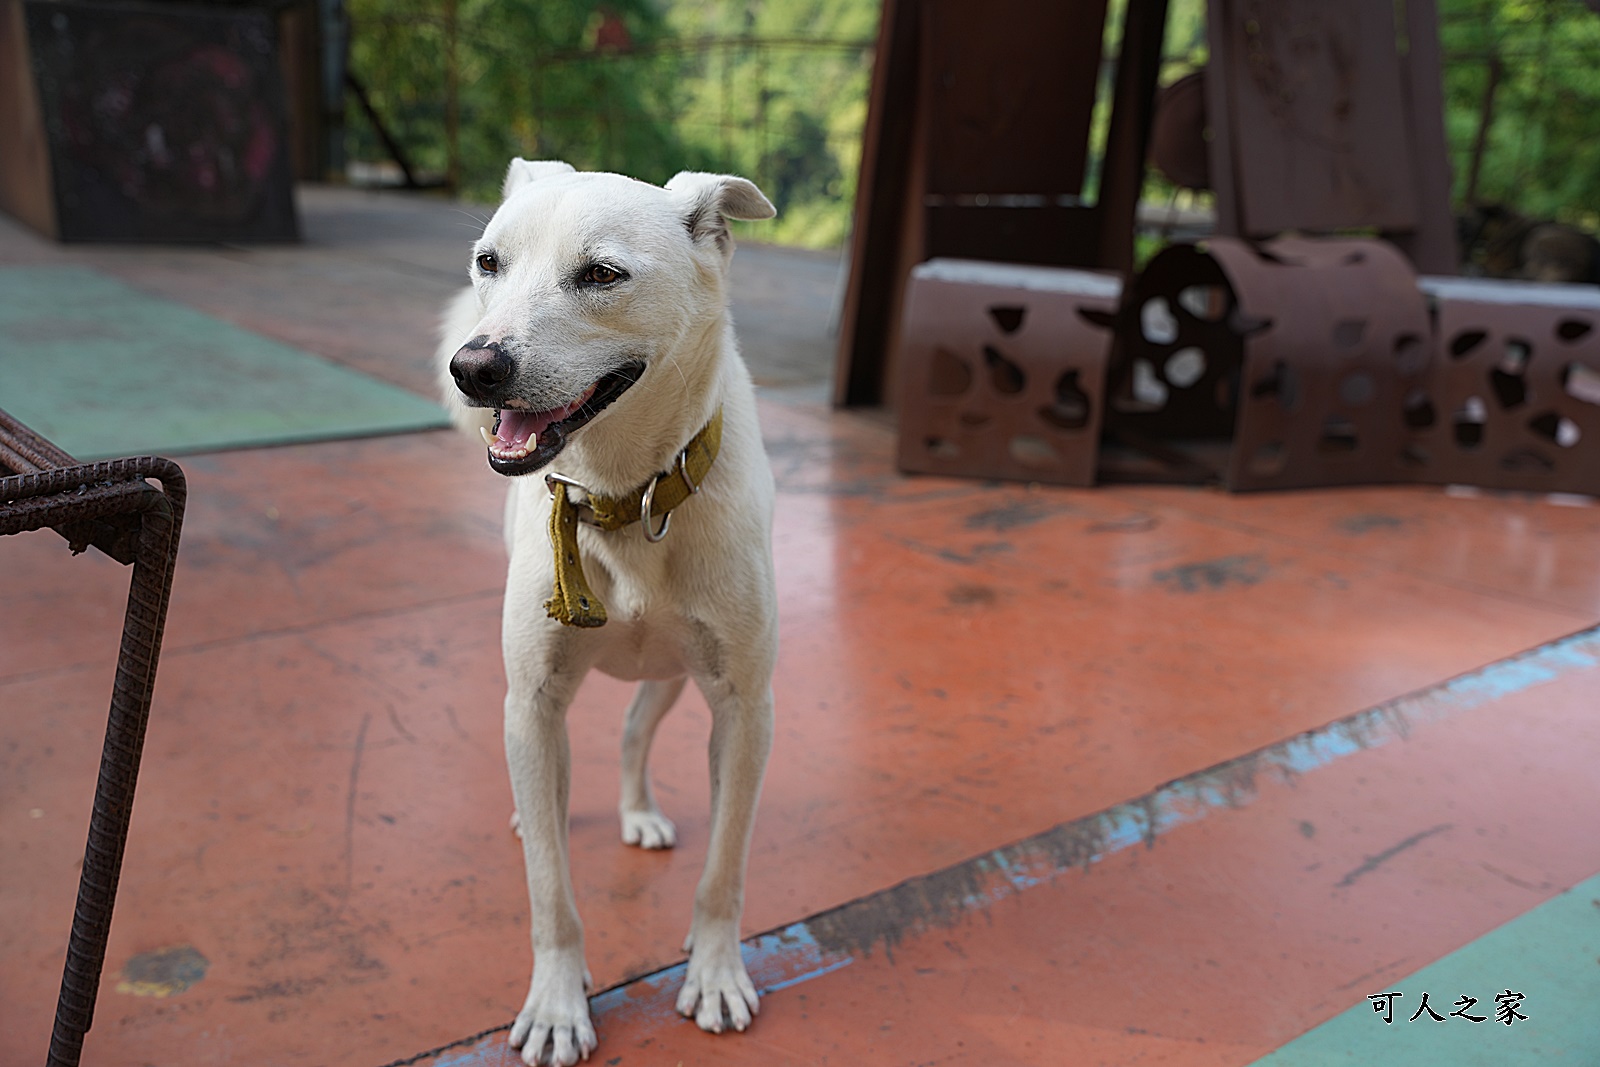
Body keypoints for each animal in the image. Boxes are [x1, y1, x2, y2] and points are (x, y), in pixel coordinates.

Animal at [435, 160, 777, 1067]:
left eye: (600, 274)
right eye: (488, 262)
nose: (473, 367)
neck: (624, 494)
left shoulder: (744, 708)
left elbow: (727, 866)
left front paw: (716, 970)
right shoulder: (534, 700)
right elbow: (551, 893)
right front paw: (557, 1003)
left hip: (672, 674)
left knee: (631, 732)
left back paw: (637, 810)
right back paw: (535, 813)